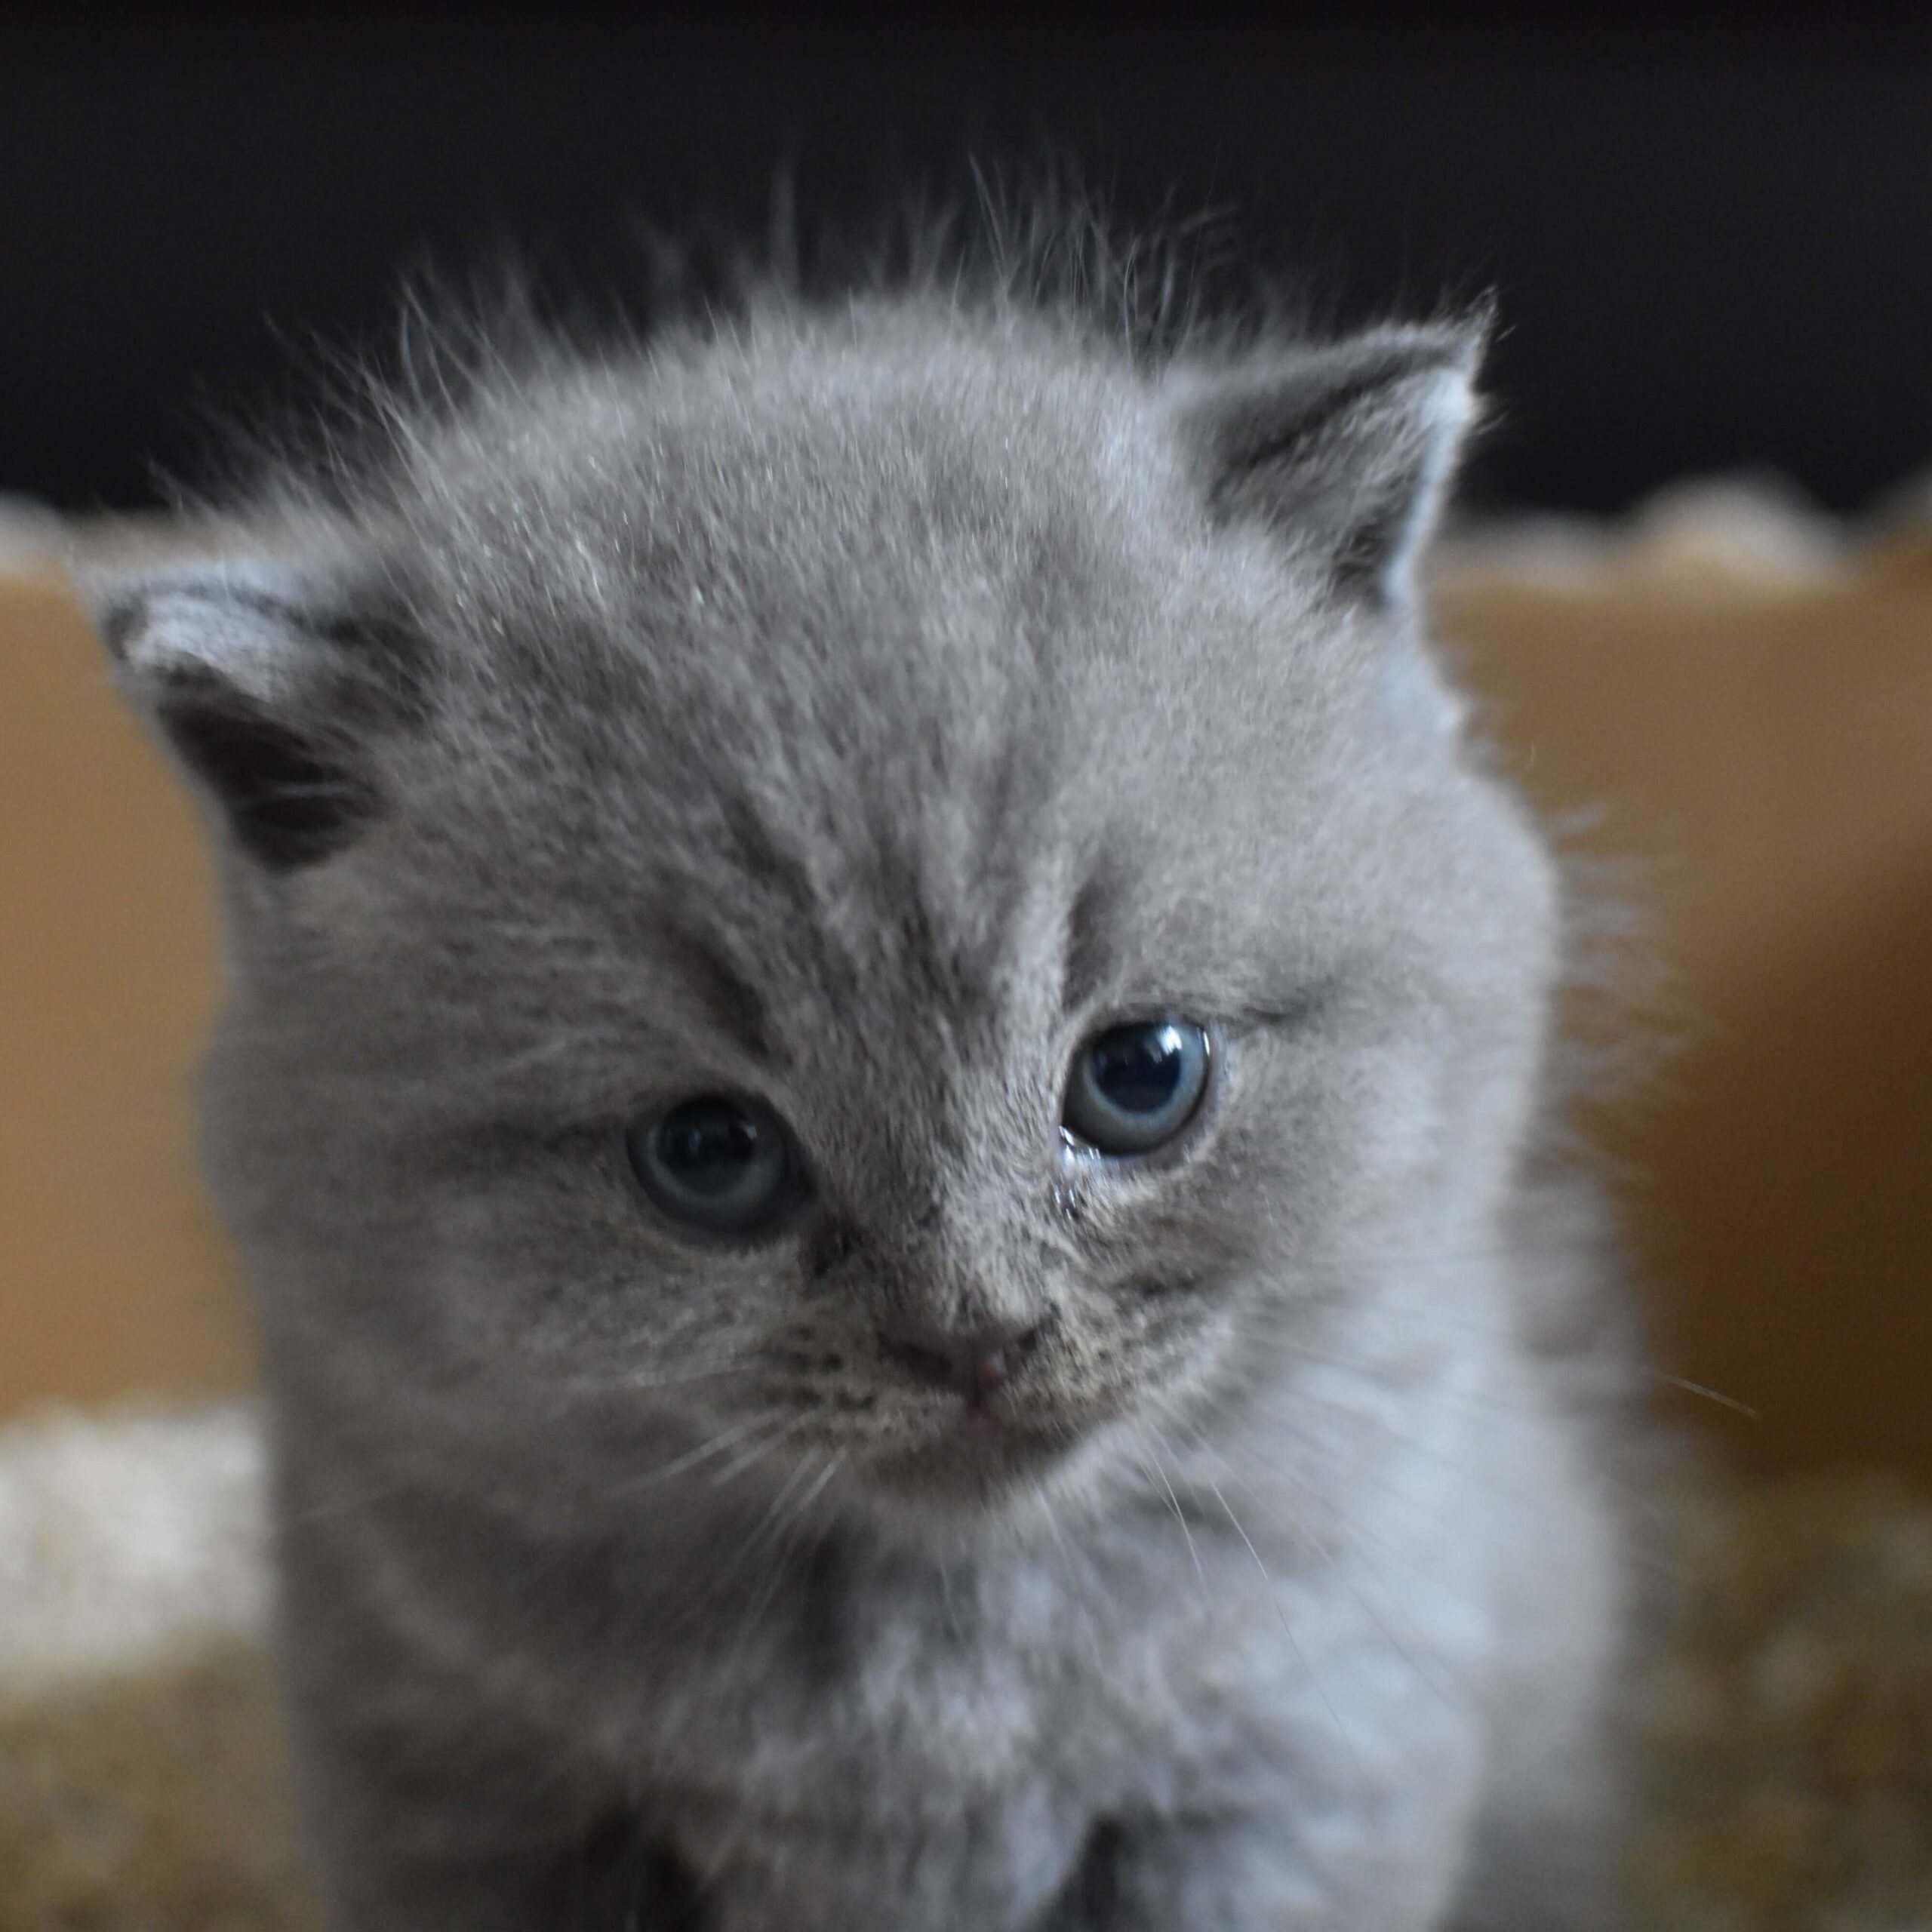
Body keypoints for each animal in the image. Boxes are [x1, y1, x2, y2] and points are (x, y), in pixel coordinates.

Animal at [87, 260, 1646, 1932]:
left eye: (1140, 1076)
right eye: (709, 1153)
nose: (977, 1335)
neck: (930, 1677)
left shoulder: (1299, 1755)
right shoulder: (458, 1782)